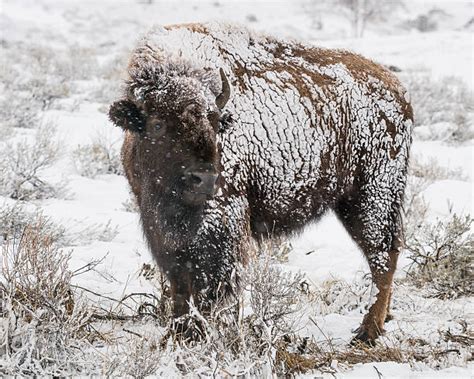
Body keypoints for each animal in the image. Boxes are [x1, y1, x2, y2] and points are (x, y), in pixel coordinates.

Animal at [109, 22, 412, 346]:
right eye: (157, 125)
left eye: (214, 123)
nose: (205, 179)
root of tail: (398, 90)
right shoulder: (161, 231)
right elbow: (179, 284)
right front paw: (177, 334)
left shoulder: (223, 223)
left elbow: (209, 284)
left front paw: (203, 333)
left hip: (372, 198)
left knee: (382, 257)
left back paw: (367, 331)